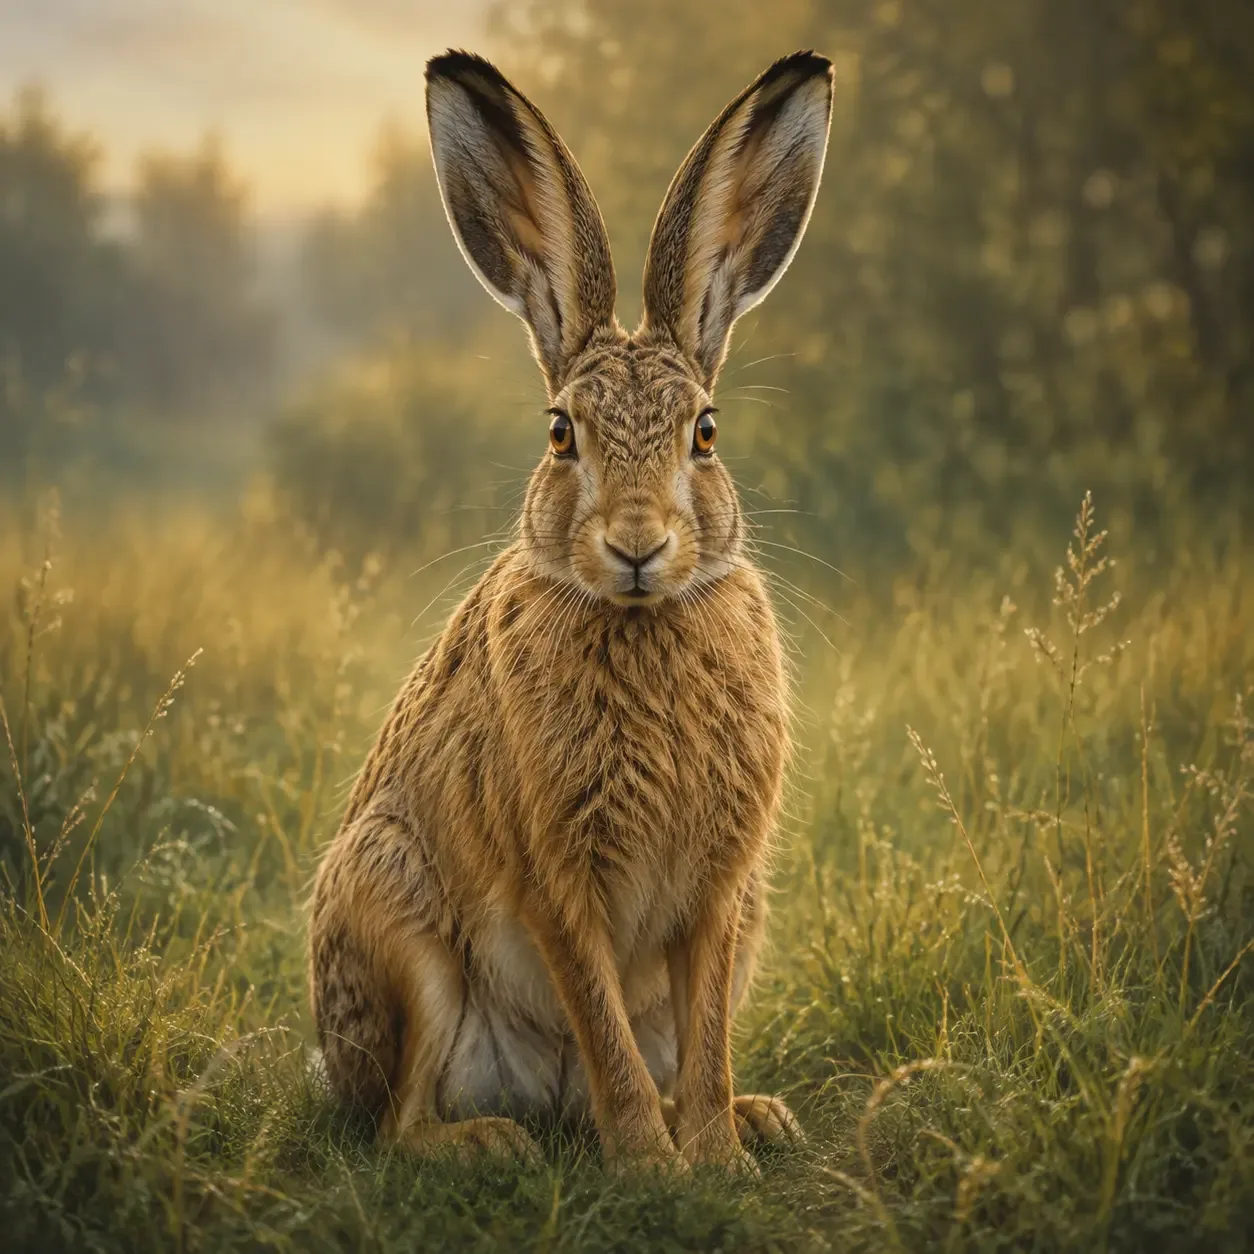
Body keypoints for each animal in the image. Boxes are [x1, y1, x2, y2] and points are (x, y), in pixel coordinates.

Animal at [309, 47, 833, 1173]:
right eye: (560, 435)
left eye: (706, 434)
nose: (637, 545)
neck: (642, 620)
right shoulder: (555, 874)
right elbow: (597, 1010)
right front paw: (653, 1166)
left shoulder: (724, 890)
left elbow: (706, 1030)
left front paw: (715, 1155)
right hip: (394, 920)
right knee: (397, 1125)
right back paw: (491, 1142)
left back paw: (756, 1119)